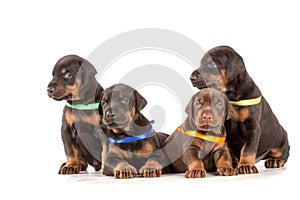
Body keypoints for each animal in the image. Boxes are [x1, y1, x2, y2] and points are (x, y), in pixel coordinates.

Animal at [190, 46, 290, 174]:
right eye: (201, 63)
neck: (231, 96)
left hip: (281, 141)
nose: (191, 78)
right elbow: (228, 148)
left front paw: (245, 165)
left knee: (283, 155)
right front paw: (231, 164)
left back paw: (275, 161)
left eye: (212, 64)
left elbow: (248, 149)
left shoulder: (252, 126)